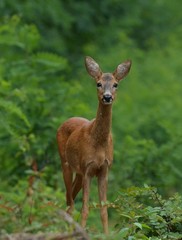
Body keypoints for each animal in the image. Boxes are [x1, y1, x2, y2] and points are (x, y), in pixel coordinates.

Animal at [56, 55, 132, 233]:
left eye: (115, 84)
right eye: (98, 83)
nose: (107, 97)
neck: (99, 143)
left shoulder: (104, 169)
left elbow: (104, 209)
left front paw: (106, 234)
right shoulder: (88, 168)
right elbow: (85, 208)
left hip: (79, 172)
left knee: (70, 200)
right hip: (65, 163)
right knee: (70, 203)